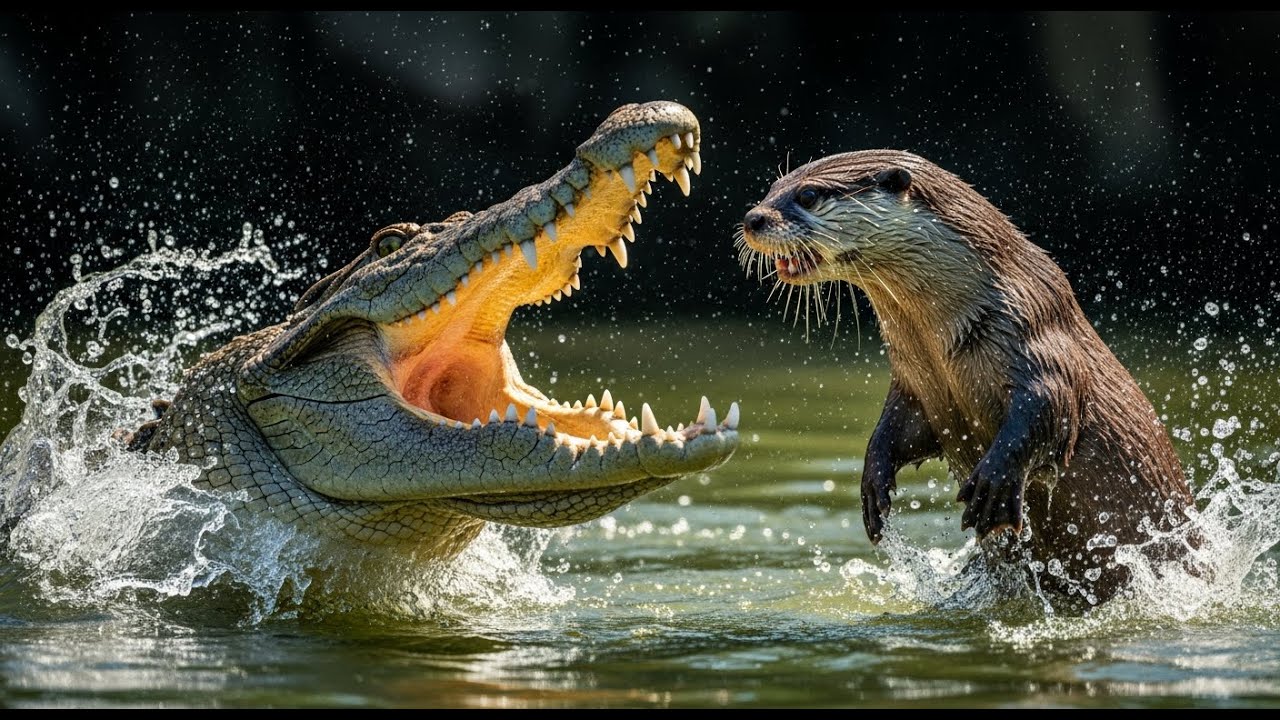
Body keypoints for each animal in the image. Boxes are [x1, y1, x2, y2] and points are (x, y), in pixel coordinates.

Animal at [739, 150, 1195, 602]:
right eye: (771, 188)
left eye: (808, 195)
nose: (752, 218)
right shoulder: (912, 382)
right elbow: (893, 431)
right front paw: (872, 486)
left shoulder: (1036, 333)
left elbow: (1049, 408)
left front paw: (993, 486)